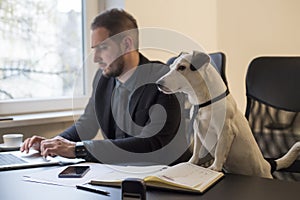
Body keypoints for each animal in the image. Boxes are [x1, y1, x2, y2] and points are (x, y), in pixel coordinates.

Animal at [157, 50, 300, 178]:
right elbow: (197, 150)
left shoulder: (226, 131)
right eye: (171, 67)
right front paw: (191, 163)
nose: (158, 83)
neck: (206, 103)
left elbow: (219, 151)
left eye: (182, 67)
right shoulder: (198, 130)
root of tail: (267, 165)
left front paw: (215, 168)